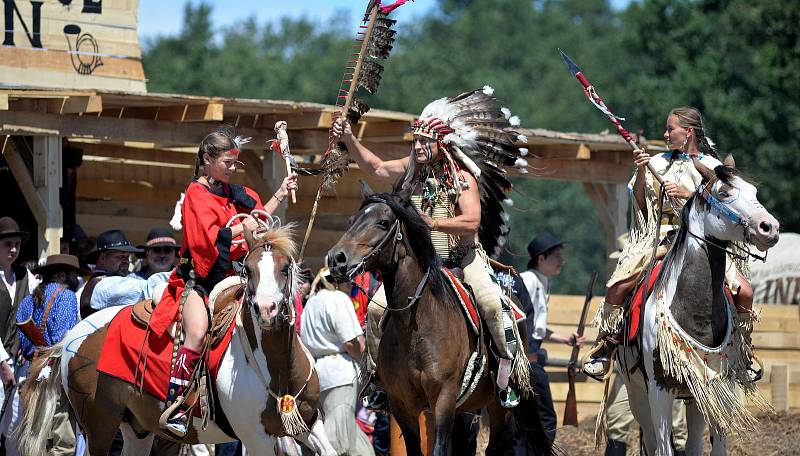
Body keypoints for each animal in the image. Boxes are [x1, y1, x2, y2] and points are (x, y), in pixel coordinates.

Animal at [15, 223, 334, 456]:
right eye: (248, 269)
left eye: (285, 267)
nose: (267, 310)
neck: (278, 372)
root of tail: (70, 337)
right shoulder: (255, 437)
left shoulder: (309, 424)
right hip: (99, 425)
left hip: (137, 428)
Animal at [328, 185, 552, 456]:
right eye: (352, 221)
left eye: (383, 222)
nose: (336, 259)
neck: (415, 325)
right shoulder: (402, 404)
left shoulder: (443, 397)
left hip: (500, 407)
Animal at [620, 155, 780, 454]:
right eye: (723, 192)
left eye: (754, 192)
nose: (770, 228)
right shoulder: (658, 390)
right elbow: (664, 447)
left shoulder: (718, 389)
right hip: (636, 393)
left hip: (695, 397)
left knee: (693, 442)